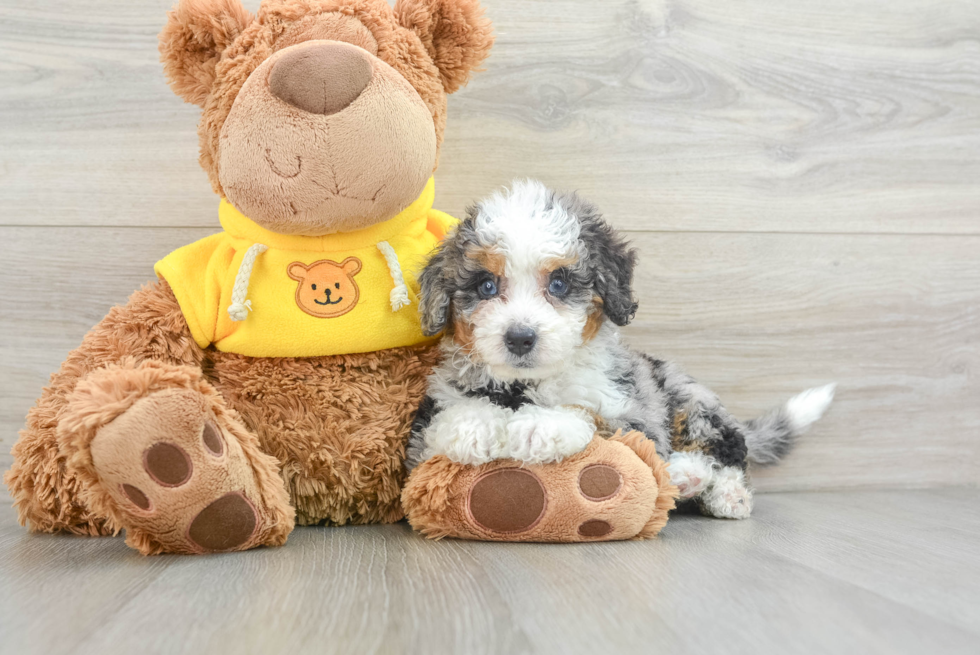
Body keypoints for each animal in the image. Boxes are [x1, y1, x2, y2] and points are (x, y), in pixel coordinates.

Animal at [402, 182, 832, 520]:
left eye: (559, 283)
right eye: (486, 286)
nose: (520, 337)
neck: (526, 386)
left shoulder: (635, 415)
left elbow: (595, 417)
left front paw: (541, 426)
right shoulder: (419, 445)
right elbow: (444, 426)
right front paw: (473, 425)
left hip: (689, 399)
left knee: (728, 450)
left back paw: (711, 486)